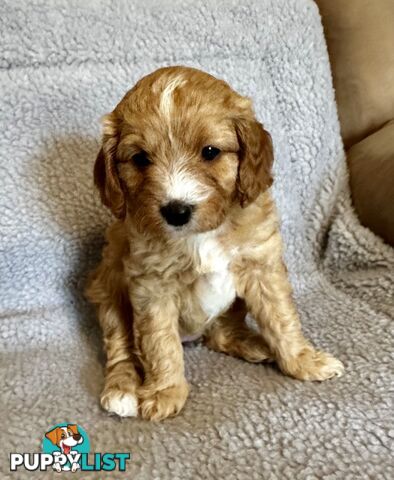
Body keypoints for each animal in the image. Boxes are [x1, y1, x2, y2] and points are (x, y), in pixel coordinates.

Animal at [84, 64, 344, 420]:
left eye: (210, 152)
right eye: (140, 159)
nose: (175, 211)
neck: (201, 235)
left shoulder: (262, 265)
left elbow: (281, 317)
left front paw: (303, 361)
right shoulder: (151, 286)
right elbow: (159, 342)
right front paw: (165, 391)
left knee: (220, 334)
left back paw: (255, 345)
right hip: (108, 291)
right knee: (121, 346)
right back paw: (121, 389)